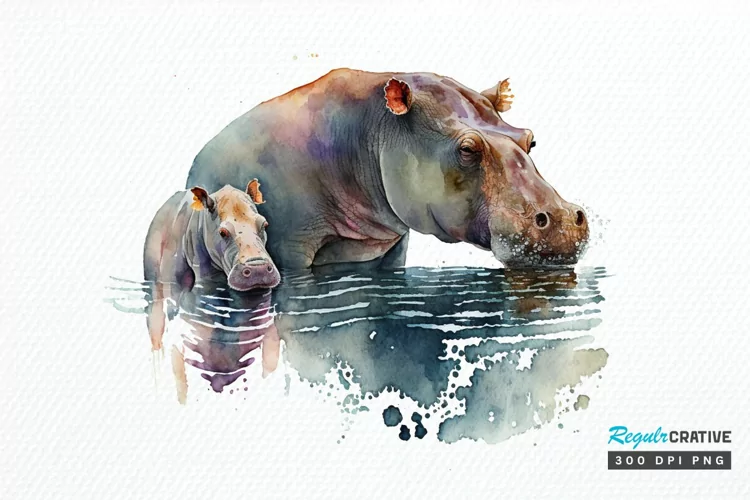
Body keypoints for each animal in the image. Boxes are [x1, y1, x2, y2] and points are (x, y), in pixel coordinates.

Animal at [185, 69, 589, 269]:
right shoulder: (289, 249)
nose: (563, 219)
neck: (369, 129)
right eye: (467, 148)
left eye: (529, 139)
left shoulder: (391, 246)